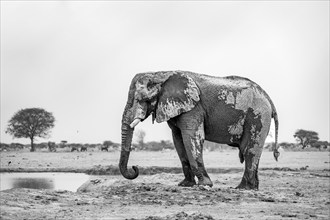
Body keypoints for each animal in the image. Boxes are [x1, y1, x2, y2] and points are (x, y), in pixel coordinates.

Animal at [118, 70, 278, 189]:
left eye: (141, 99)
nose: (135, 167)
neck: (161, 74)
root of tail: (268, 98)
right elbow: (178, 141)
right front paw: (185, 185)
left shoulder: (193, 107)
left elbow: (192, 137)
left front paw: (204, 185)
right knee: (250, 150)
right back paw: (251, 188)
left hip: (258, 115)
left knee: (249, 150)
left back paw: (243, 188)